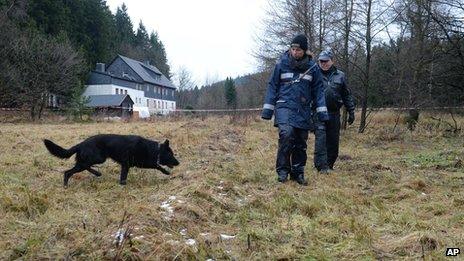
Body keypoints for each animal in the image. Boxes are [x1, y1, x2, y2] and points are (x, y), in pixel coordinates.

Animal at [42, 134, 179, 185]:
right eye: (171, 154)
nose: (179, 162)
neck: (155, 150)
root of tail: (81, 144)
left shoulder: (130, 165)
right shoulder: (131, 164)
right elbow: (156, 165)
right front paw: (166, 172)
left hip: (95, 159)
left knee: (73, 170)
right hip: (98, 158)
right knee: (74, 169)